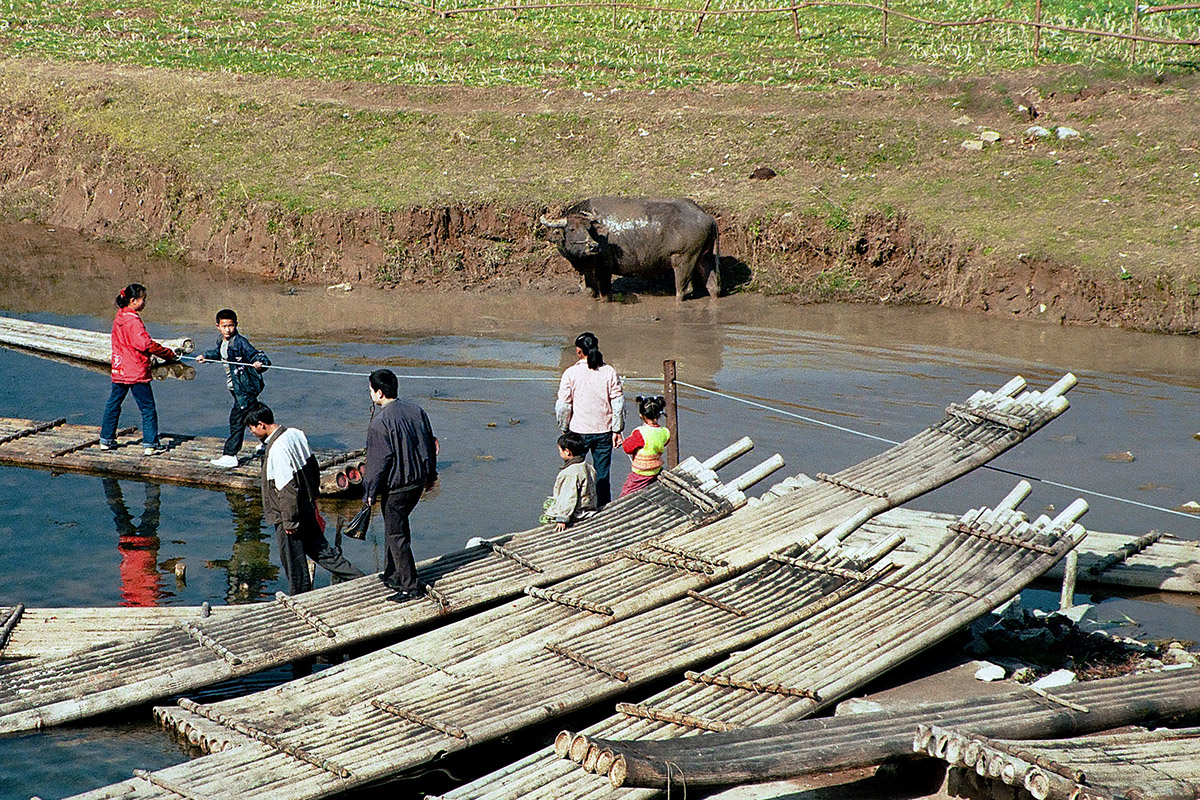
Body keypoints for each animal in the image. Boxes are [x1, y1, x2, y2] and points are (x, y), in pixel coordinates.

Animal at [542, 199, 720, 302]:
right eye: (571, 229)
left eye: (588, 228)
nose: (593, 246)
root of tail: (707, 217)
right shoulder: (588, 272)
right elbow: (590, 292)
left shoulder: (604, 270)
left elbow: (605, 296)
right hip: (704, 258)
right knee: (713, 286)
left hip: (684, 260)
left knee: (682, 290)